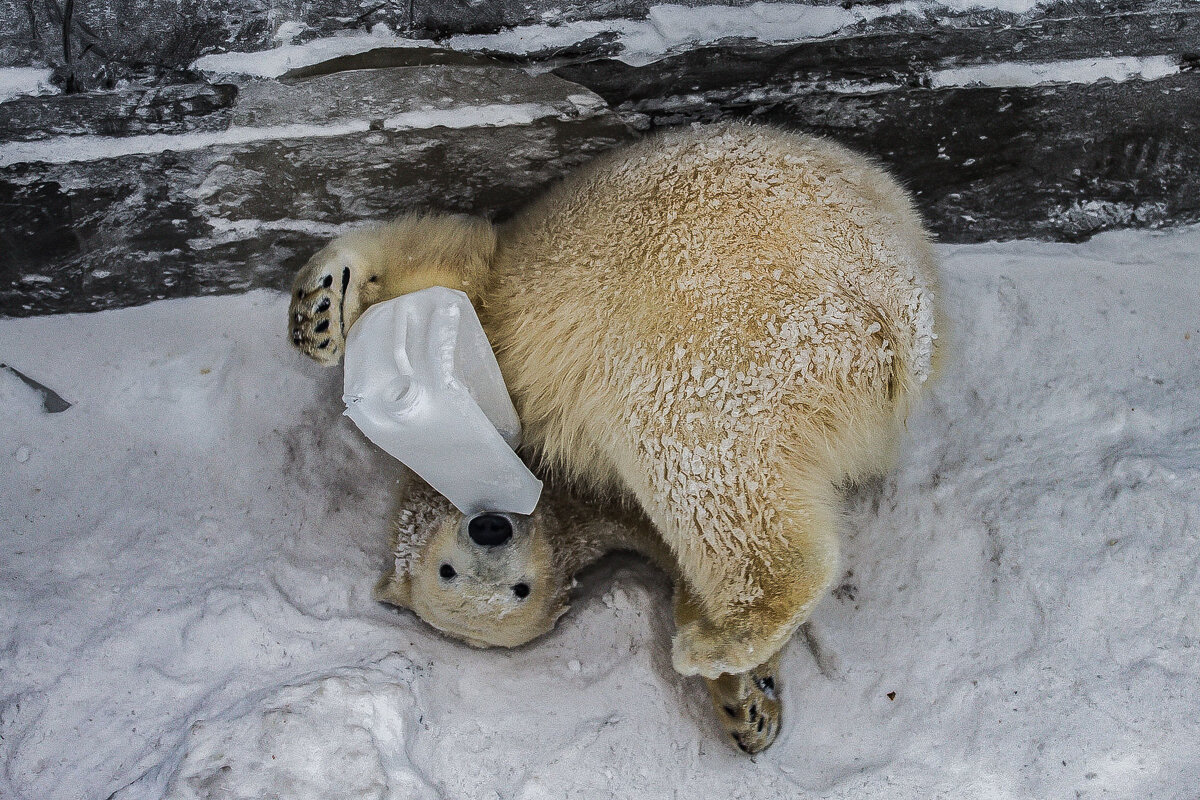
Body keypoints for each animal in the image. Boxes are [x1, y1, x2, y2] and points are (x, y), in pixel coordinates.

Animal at [288, 120, 936, 724]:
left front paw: (321, 311)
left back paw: (716, 639)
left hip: (732, 324)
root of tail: (897, 315)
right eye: (447, 574)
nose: (491, 530)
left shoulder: (502, 300)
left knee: (693, 451)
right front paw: (746, 702)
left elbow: (449, 258)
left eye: (519, 588)